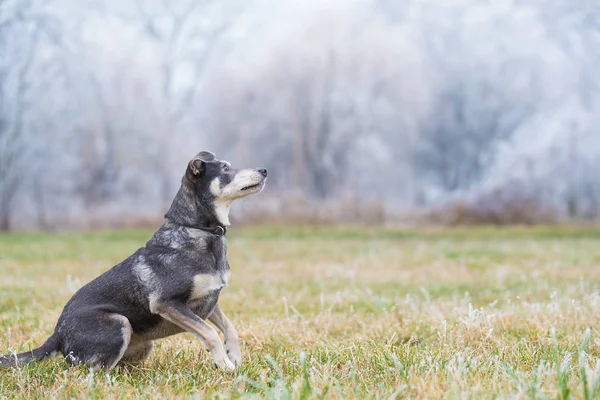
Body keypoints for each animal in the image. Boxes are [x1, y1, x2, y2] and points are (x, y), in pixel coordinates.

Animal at [0, 151, 268, 372]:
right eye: (225, 169)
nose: (264, 170)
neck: (198, 230)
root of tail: (57, 334)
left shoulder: (210, 300)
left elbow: (229, 328)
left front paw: (234, 357)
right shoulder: (167, 303)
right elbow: (210, 333)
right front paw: (224, 364)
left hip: (141, 345)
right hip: (119, 324)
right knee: (87, 372)